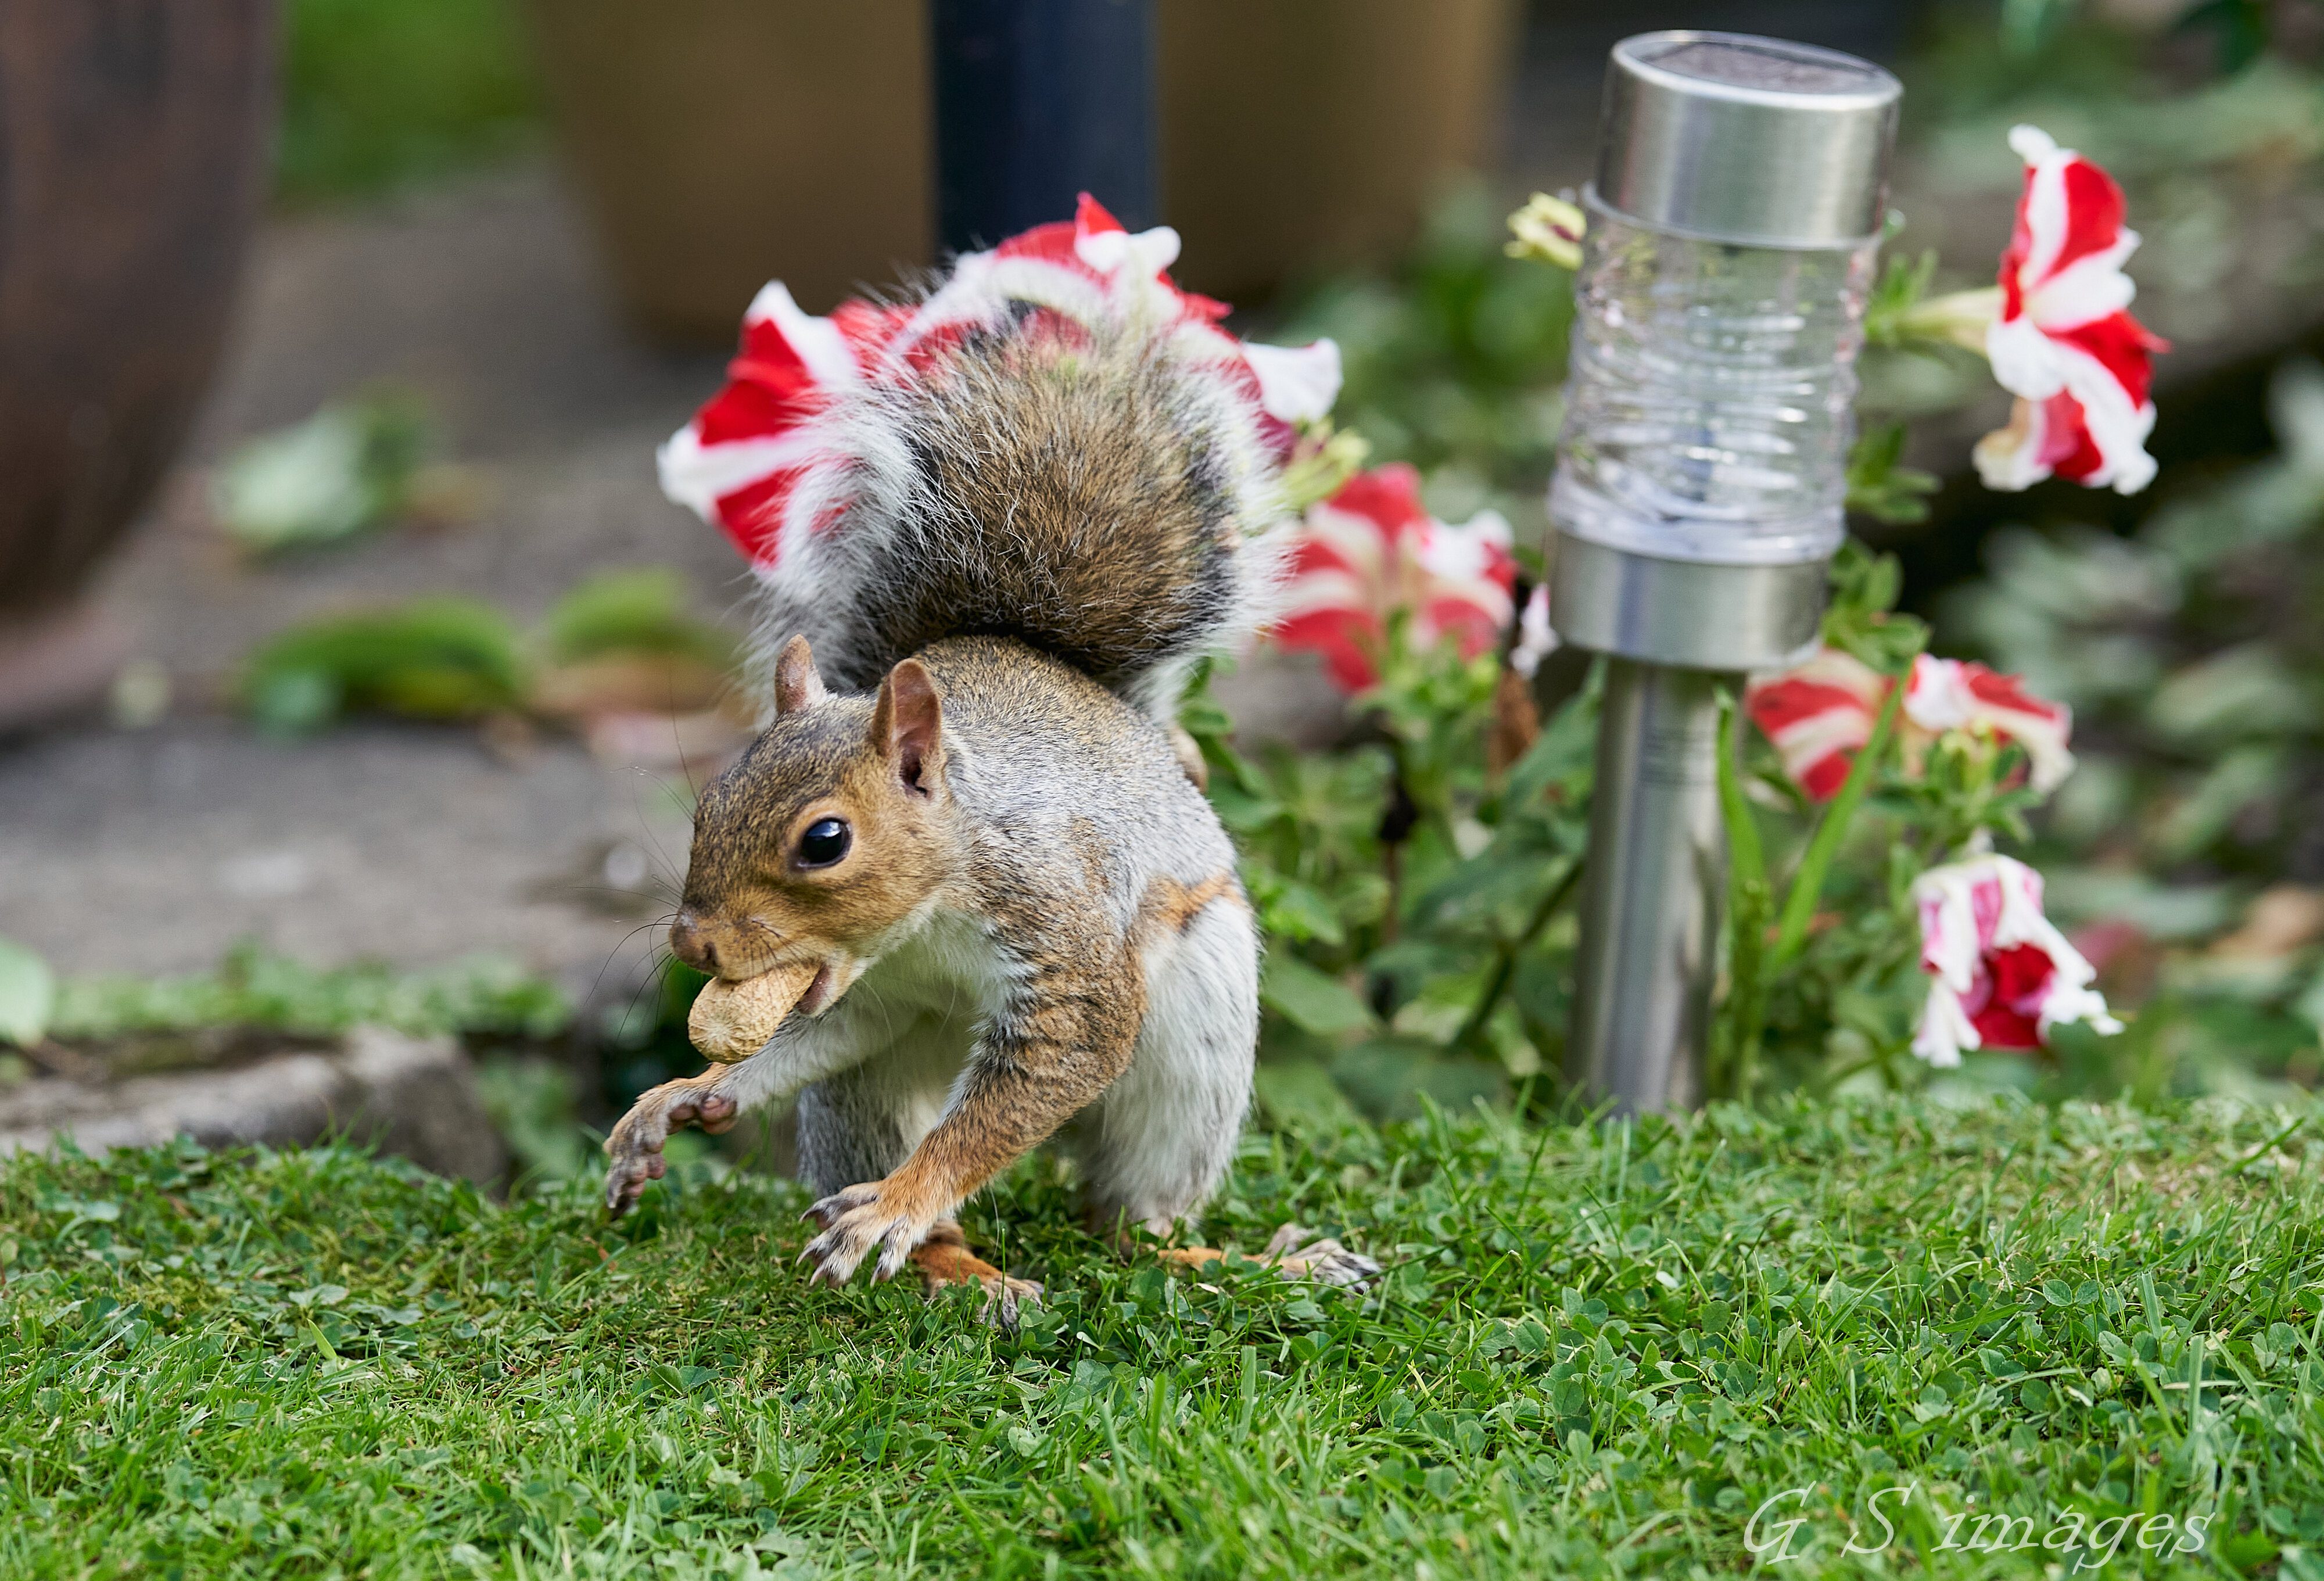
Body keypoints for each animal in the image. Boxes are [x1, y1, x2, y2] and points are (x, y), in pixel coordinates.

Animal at [600, 198, 1376, 1311]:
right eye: (709, 802)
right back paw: (958, 1268)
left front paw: (900, 1198)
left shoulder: (1060, 922)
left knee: (1130, 1218)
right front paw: (690, 1094)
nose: (691, 946)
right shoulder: (871, 1004)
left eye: (825, 840)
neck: (923, 924)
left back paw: (1227, 1257)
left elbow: (1046, 1068)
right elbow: (811, 1038)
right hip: (870, 1098)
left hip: (1196, 1039)